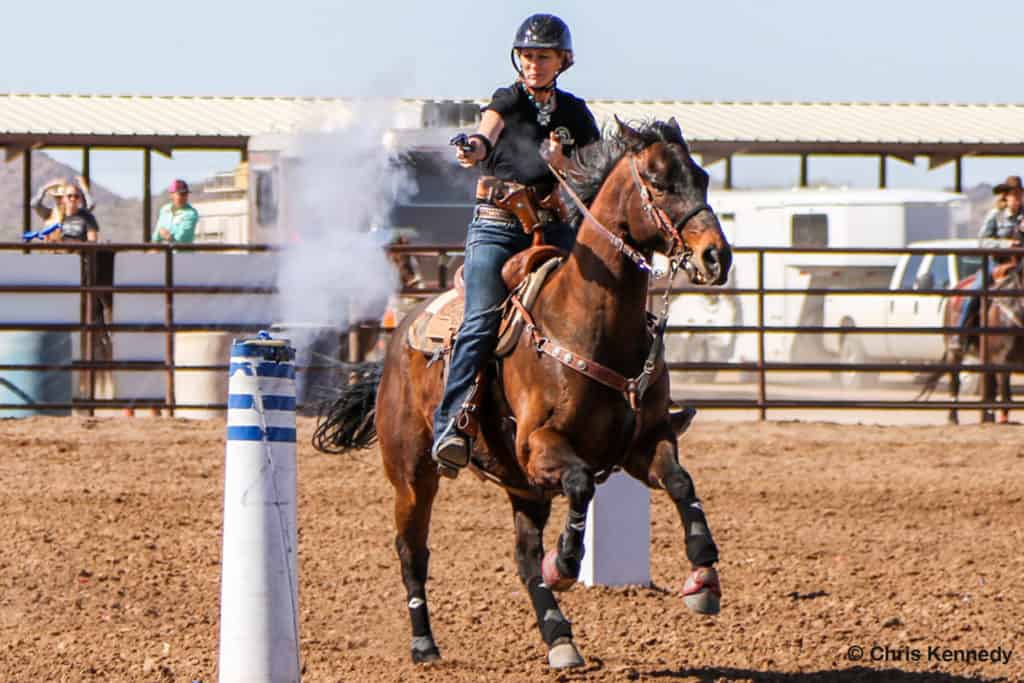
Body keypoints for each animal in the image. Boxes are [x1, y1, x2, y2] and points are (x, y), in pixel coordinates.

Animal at [315, 118, 733, 668]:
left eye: (702, 178)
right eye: (659, 182)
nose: (716, 256)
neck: (588, 322)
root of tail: (399, 333)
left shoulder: (642, 445)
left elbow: (682, 482)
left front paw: (704, 577)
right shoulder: (539, 447)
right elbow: (580, 482)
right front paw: (568, 561)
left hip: (521, 487)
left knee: (523, 558)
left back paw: (559, 638)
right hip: (412, 474)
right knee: (412, 550)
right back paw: (425, 643)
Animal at [922, 264, 1024, 424]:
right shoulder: (1002, 359)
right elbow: (1005, 392)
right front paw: (1004, 420)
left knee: (989, 388)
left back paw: (988, 418)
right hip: (954, 353)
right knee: (955, 382)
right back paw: (953, 418)